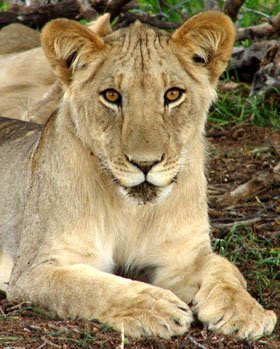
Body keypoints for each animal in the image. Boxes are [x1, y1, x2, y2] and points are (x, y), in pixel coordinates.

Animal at [0, 11, 276, 338]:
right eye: (111, 95)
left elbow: (224, 268)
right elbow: (91, 287)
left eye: (172, 94)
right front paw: (155, 307)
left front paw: (244, 310)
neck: (131, 210)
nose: (145, 164)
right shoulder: (34, 269)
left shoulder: (182, 257)